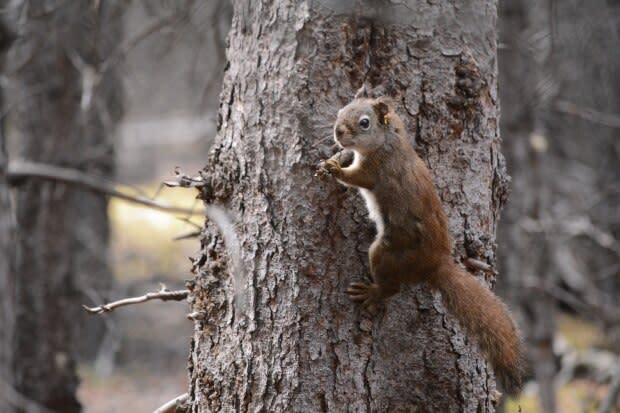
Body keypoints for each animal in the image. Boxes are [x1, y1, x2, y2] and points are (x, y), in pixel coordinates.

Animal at [318, 89, 524, 392]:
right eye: (340, 111)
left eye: (365, 122)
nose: (338, 132)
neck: (388, 141)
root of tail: (436, 264)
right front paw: (334, 158)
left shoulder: (377, 169)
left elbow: (357, 178)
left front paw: (335, 168)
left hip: (386, 254)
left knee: (391, 287)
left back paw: (372, 292)